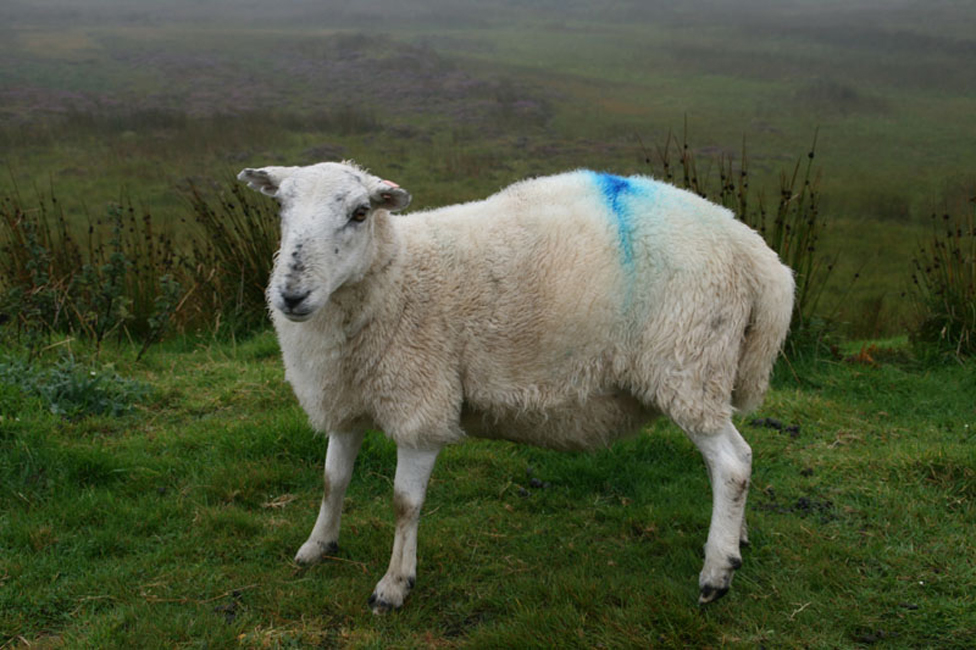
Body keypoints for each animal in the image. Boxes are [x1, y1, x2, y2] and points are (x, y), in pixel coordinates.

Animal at [238, 161, 795, 612]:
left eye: (359, 213)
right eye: (281, 206)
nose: (291, 295)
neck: (397, 277)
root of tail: (760, 257)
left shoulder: (422, 402)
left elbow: (403, 503)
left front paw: (394, 586)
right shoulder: (347, 396)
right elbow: (333, 481)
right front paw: (317, 546)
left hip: (688, 361)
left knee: (732, 464)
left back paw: (715, 573)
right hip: (704, 372)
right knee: (735, 460)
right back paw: (735, 541)